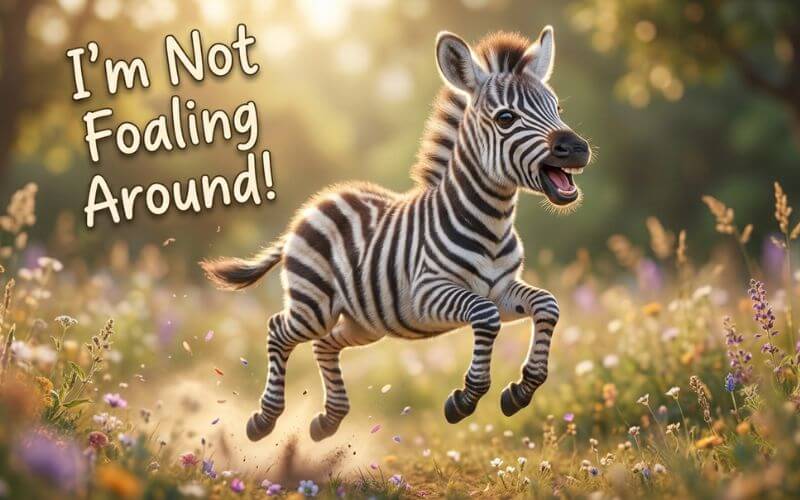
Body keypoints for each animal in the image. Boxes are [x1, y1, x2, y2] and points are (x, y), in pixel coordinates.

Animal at [201, 26, 591, 442]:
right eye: (506, 118)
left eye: (557, 109)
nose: (578, 148)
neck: (492, 224)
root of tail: (312, 207)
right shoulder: (426, 292)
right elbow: (484, 316)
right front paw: (465, 399)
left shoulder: (501, 290)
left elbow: (547, 304)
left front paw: (521, 391)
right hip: (315, 305)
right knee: (279, 329)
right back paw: (264, 418)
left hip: (364, 321)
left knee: (325, 344)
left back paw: (329, 420)